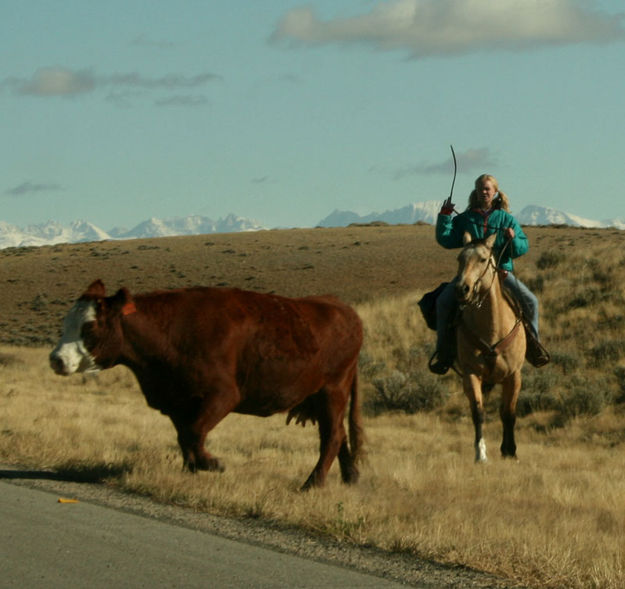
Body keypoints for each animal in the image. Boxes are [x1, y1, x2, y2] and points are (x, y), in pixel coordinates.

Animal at [50, 280, 366, 486]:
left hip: (333, 389)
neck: (170, 335)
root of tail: (341, 307)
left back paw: (312, 484)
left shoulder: (222, 395)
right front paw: (191, 470)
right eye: (65, 323)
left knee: (332, 436)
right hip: (321, 396)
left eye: (90, 327)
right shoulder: (177, 401)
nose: (57, 359)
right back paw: (350, 478)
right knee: (340, 434)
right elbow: (184, 436)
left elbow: (193, 432)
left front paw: (212, 463)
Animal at [454, 232, 528, 462]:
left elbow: (509, 414)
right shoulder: (471, 374)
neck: (493, 327)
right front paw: (481, 453)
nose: (462, 289)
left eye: (483, 259)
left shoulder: (514, 376)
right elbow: (478, 413)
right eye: (459, 259)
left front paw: (511, 451)